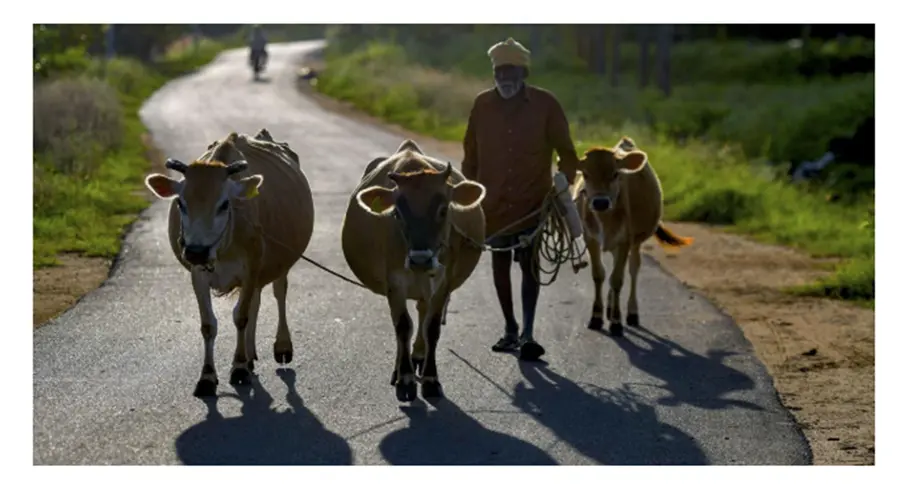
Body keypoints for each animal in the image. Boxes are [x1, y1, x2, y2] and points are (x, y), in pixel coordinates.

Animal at [144, 129, 315, 398]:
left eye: (224, 204)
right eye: (181, 203)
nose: (196, 251)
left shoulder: (251, 269)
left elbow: (240, 317)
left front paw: (239, 368)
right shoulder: (198, 274)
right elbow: (208, 325)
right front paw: (207, 376)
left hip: (280, 263)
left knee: (279, 293)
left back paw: (281, 346)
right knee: (256, 301)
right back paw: (251, 355)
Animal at [341, 139, 486, 402]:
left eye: (443, 210)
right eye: (397, 213)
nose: (420, 259)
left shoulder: (443, 283)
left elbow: (432, 328)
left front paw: (430, 379)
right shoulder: (394, 283)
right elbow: (402, 326)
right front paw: (406, 378)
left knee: (422, 312)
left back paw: (418, 355)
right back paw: (399, 368)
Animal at [571, 136, 693, 337]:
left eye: (615, 174)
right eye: (585, 174)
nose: (600, 202)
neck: (606, 219)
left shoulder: (625, 241)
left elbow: (617, 279)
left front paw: (616, 322)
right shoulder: (591, 239)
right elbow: (599, 274)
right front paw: (596, 316)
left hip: (635, 242)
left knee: (633, 269)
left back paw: (631, 313)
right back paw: (609, 307)